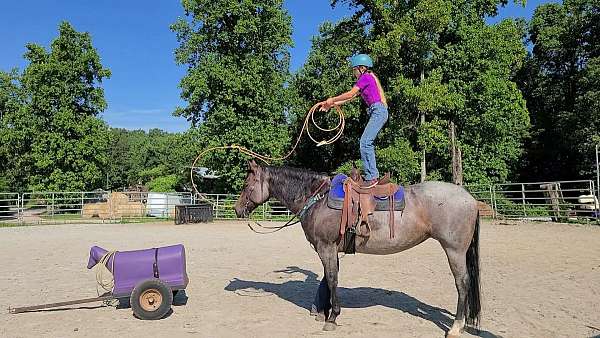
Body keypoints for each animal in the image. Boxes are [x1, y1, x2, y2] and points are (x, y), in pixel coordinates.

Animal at [232, 161, 480, 338]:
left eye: (246, 185)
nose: (237, 209)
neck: (317, 199)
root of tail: (470, 198)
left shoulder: (325, 247)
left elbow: (332, 278)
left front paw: (332, 318)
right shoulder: (331, 249)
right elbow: (327, 277)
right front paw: (320, 311)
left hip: (454, 250)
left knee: (462, 283)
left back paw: (456, 327)